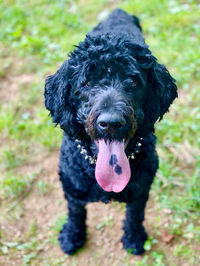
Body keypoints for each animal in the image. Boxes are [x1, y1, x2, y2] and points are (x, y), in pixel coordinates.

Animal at [44, 8, 177, 256]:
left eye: (133, 81)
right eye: (87, 82)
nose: (111, 122)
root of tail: (119, 12)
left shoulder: (141, 189)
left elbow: (135, 215)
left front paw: (134, 238)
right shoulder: (72, 187)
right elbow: (75, 213)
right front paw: (72, 236)